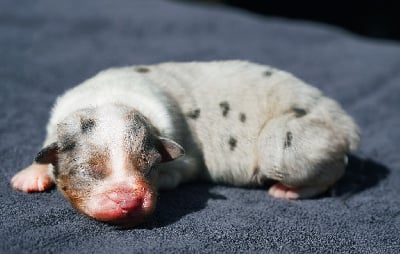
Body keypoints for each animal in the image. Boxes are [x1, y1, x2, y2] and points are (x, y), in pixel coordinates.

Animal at [10, 61, 360, 226]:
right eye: (87, 170)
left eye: (150, 167)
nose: (129, 202)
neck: (110, 98)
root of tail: (347, 125)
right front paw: (30, 175)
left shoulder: (184, 163)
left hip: (283, 145)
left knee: (331, 173)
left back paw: (287, 190)